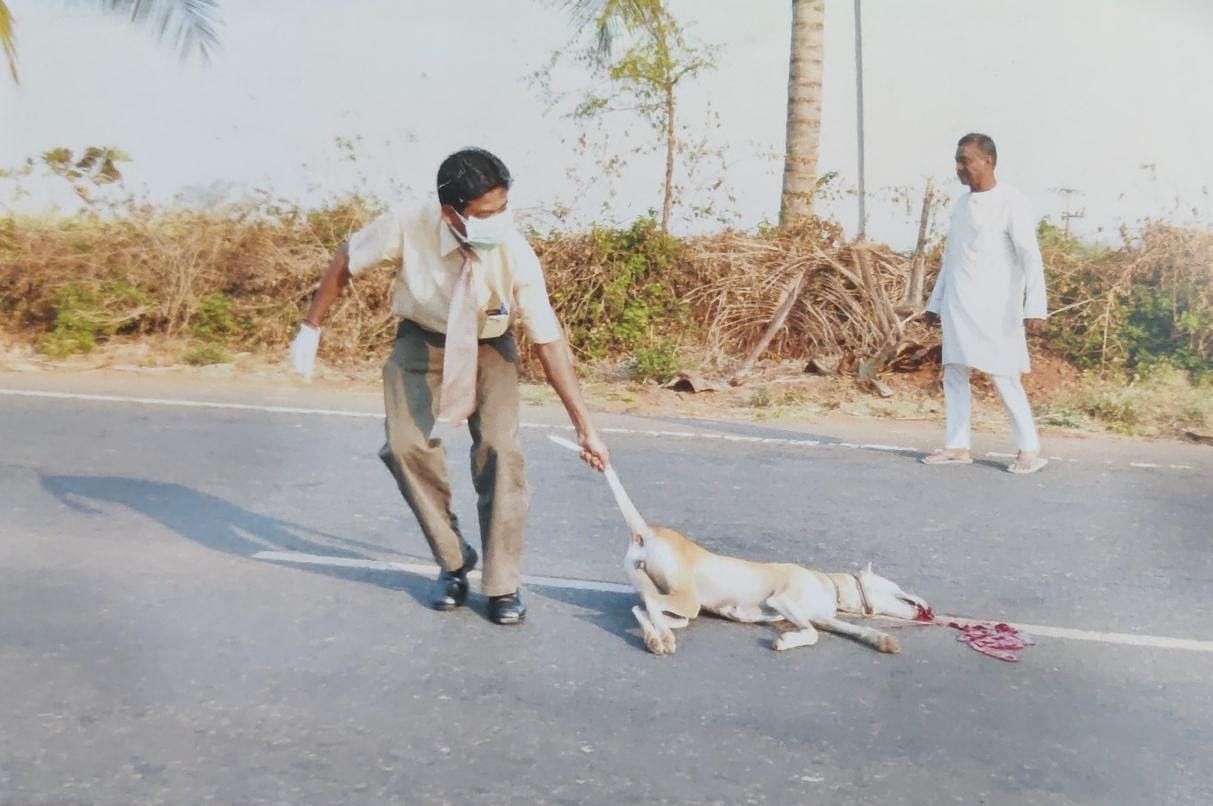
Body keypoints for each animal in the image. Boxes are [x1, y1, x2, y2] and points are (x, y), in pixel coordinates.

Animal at [545, 434, 931, 655]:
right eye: (897, 585)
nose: (930, 606)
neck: (830, 586)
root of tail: (647, 531)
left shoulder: (824, 617)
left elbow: (854, 628)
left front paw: (881, 640)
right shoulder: (784, 601)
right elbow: (809, 633)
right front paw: (786, 641)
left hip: (672, 601)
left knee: (643, 609)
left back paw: (657, 638)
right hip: (687, 599)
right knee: (651, 606)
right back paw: (662, 639)